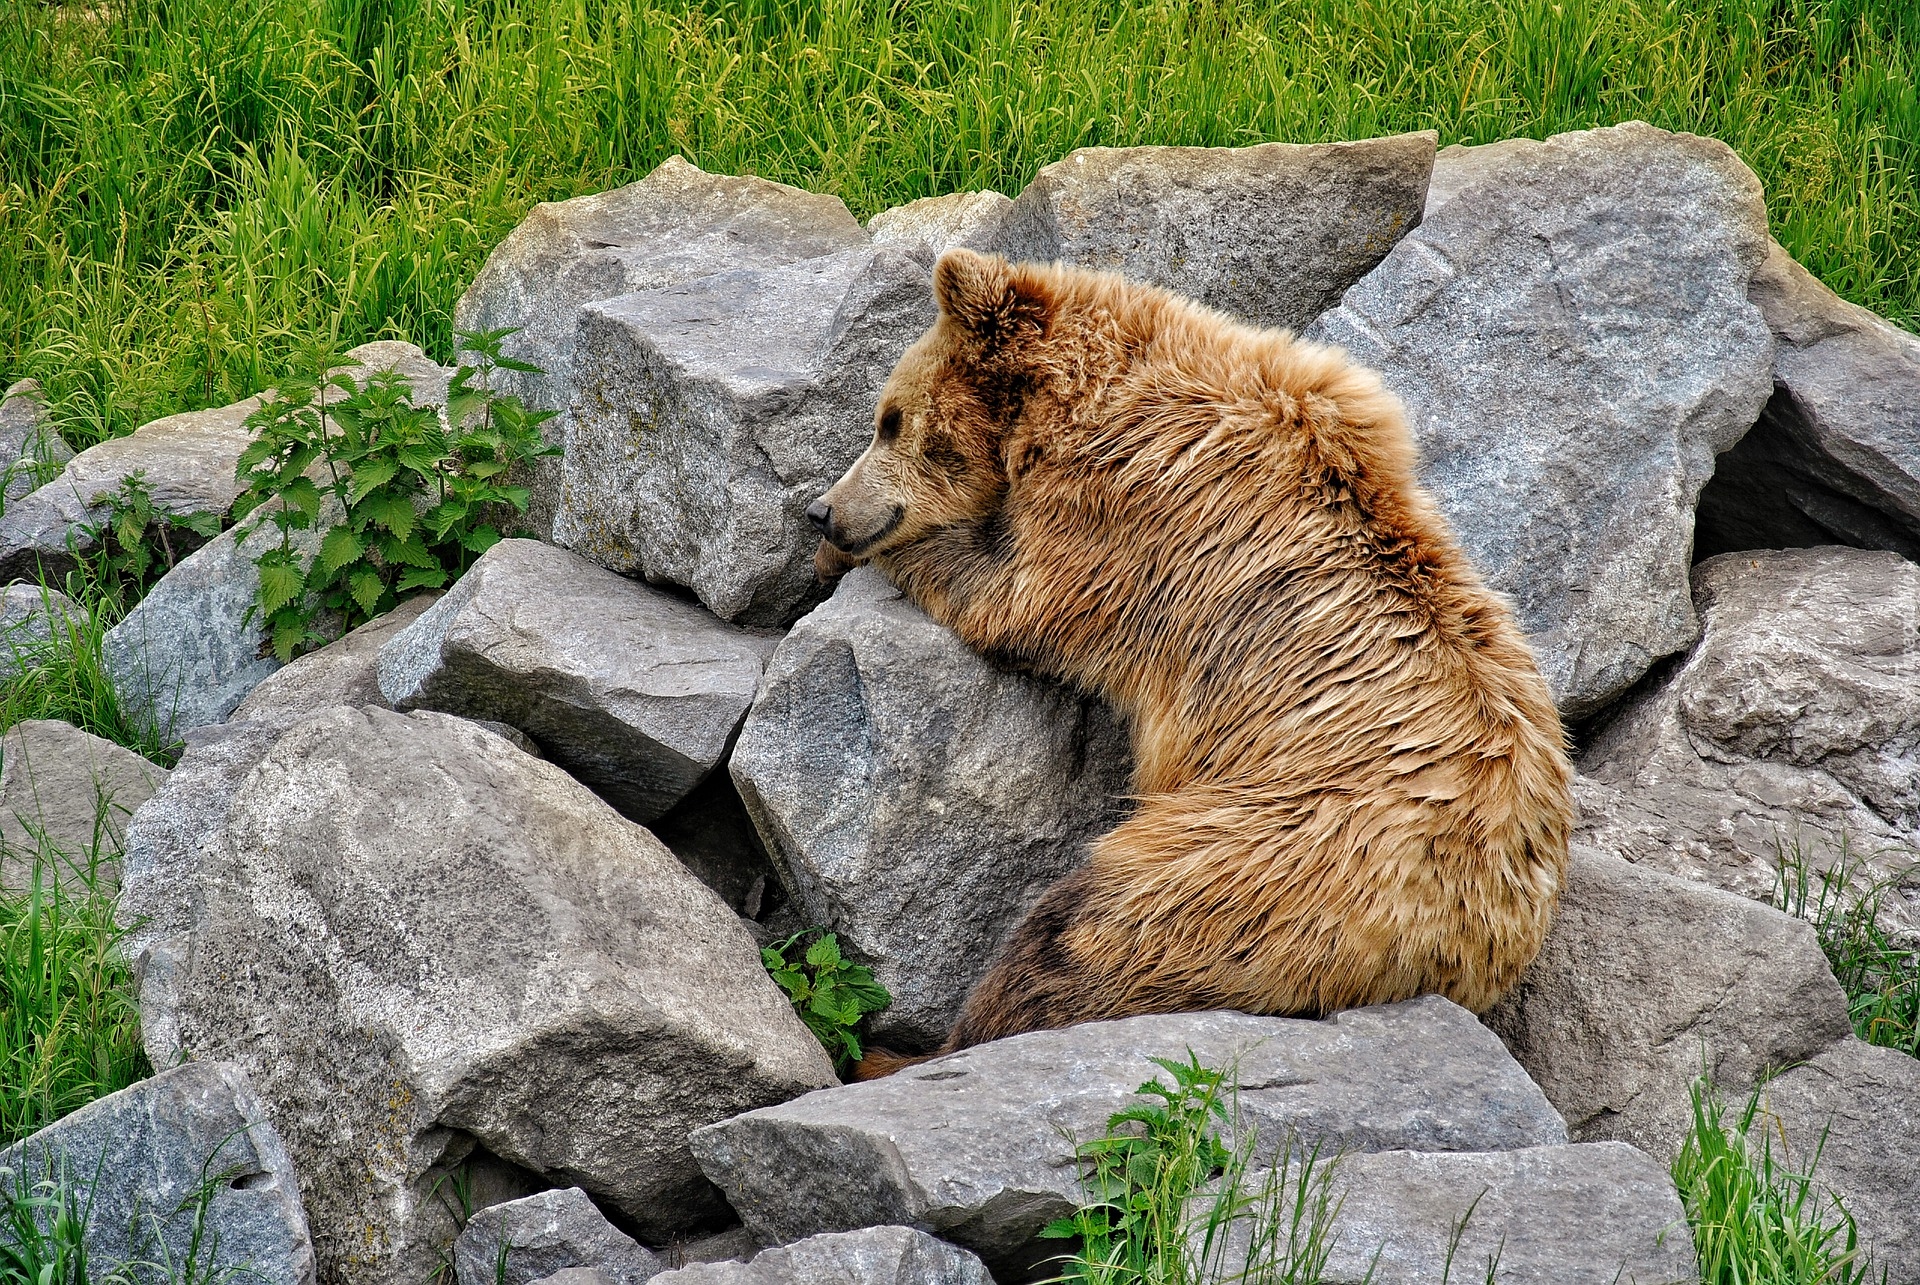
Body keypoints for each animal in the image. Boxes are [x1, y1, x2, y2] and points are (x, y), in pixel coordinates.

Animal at [810, 245, 1574, 1067]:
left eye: (889, 420)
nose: (824, 509)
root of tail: (1464, 946)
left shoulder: (1126, 515)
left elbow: (1011, 596)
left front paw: (870, 554)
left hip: (1257, 861)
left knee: (1082, 937)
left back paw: (919, 1046)